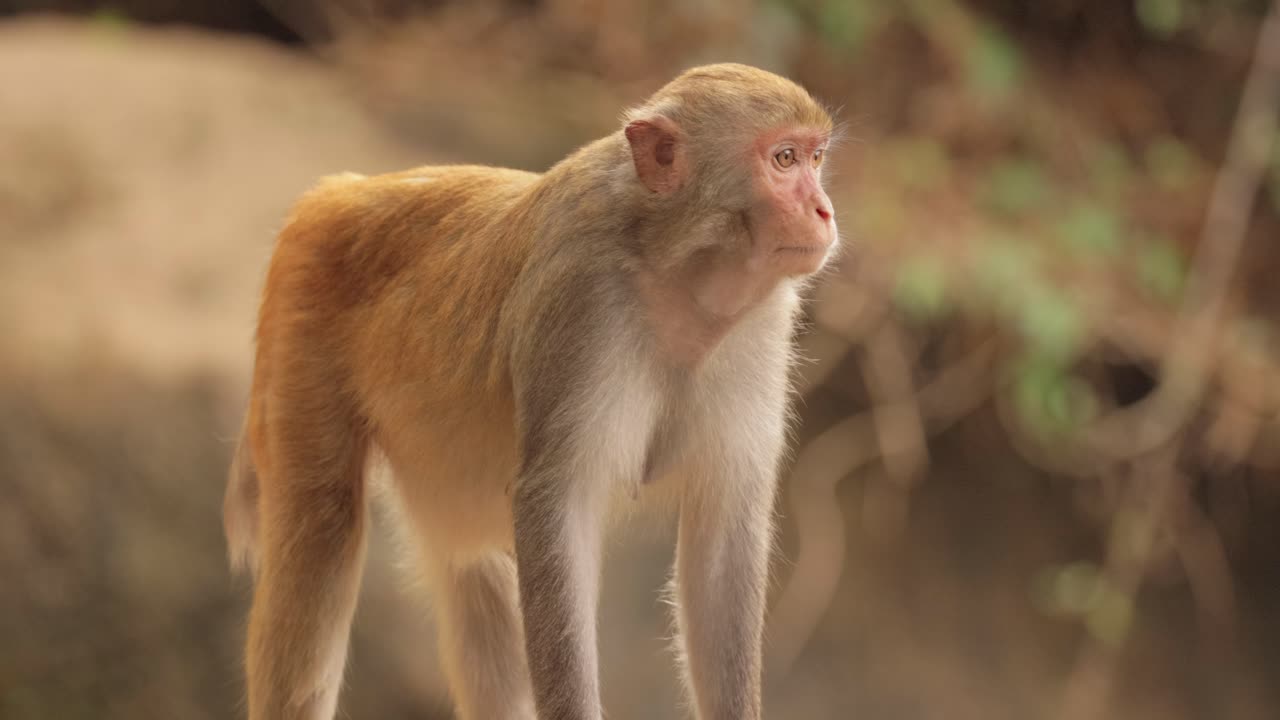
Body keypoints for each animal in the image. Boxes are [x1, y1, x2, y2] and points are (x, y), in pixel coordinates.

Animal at [223, 62, 838, 720]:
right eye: (783, 159)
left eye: (816, 157)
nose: (824, 210)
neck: (674, 264)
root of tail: (336, 193)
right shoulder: (582, 302)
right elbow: (555, 511)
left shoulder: (764, 327)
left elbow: (722, 547)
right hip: (300, 326)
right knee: (322, 531)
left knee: (475, 574)